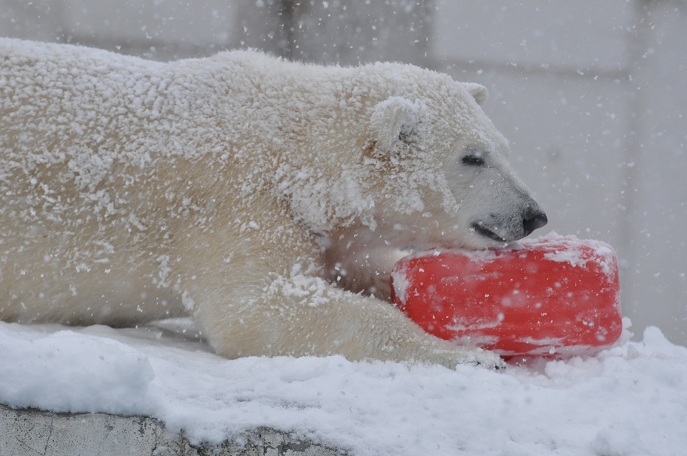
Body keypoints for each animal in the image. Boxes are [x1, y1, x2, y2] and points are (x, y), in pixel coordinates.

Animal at [1, 38, 548, 366]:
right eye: (473, 157)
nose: (533, 215)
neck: (295, 148)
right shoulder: (234, 202)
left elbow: (362, 268)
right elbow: (258, 308)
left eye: (503, 148)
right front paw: (469, 356)